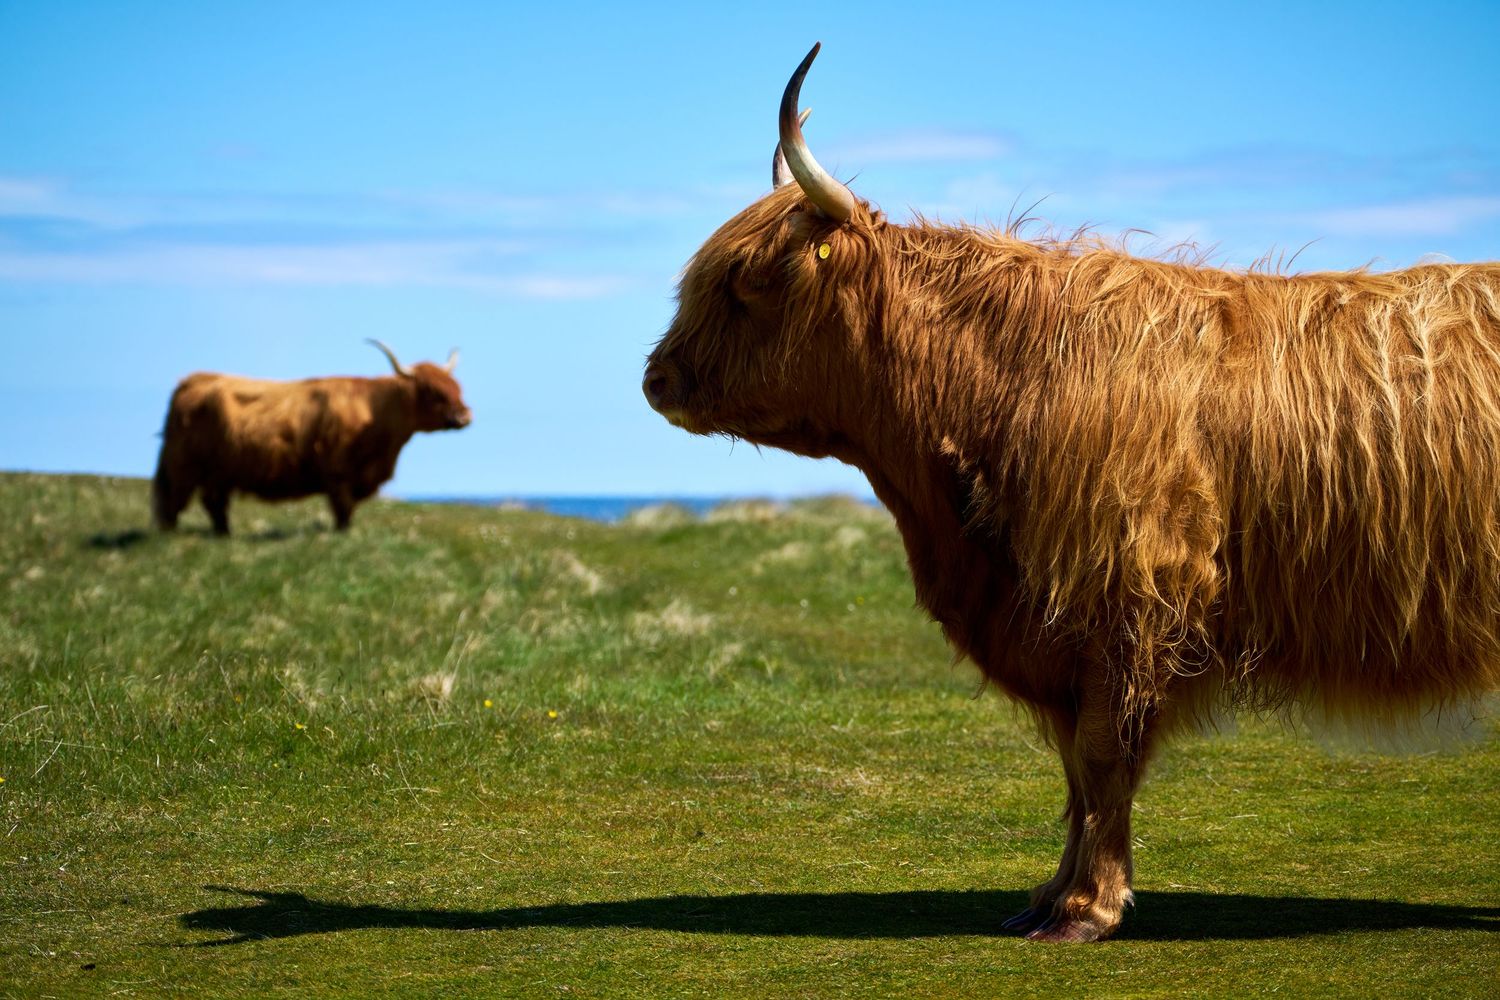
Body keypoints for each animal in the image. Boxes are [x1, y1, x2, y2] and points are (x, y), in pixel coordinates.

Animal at [152, 340, 471, 535]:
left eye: (457, 387)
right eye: (433, 392)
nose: (464, 416)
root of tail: (192, 380)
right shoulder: (340, 473)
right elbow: (343, 510)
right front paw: (343, 535)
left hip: (219, 473)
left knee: (213, 503)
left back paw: (224, 535)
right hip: (185, 466)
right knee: (174, 504)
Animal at [643, 43, 1500, 942]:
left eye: (748, 284)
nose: (655, 379)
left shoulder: (1126, 599)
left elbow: (1100, 756)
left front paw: (1089, 907)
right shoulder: (1057, 628)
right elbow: (1075, 772)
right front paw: (1050, 895)